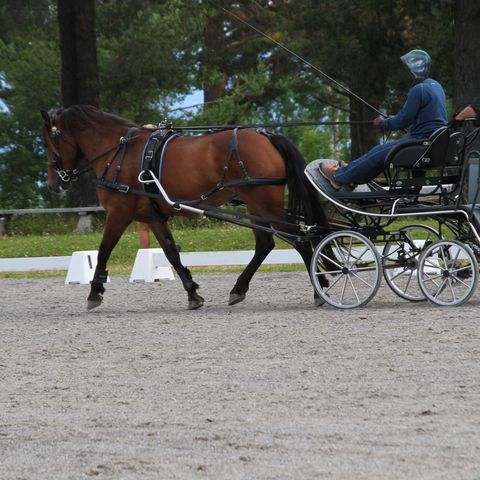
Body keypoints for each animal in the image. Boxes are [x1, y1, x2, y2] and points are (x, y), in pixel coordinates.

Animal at [41, 105, 328, 310]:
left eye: (49, 143)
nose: (54, 184)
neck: (119, 152)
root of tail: (265, 136)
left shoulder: (118, 213)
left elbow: (103, 250)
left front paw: (94, 292)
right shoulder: (153, 216)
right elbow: (171, 252)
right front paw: (192, 293)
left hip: (264, 204)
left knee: (300, 239)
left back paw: (320, 288)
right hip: (255, 206)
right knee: (266, 244)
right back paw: (239, 289)